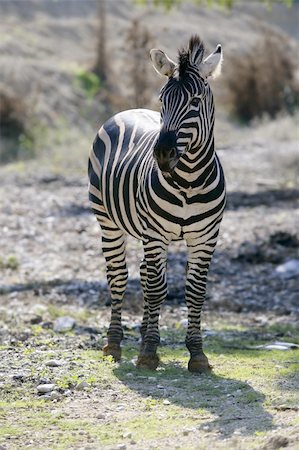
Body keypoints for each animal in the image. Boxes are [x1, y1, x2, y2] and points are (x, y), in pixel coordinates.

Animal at [88, 35, 226, 372]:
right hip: (108, 223)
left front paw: (197, 354)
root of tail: (128, 110)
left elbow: (195, 291)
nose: (162, 154)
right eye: (163, 100)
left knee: (142, 274)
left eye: (195, 102)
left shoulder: (206, 239)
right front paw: (149, 351)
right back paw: (115, 343)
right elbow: (156, 289)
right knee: (120, 278)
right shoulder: (156, 235)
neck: (189, 180)